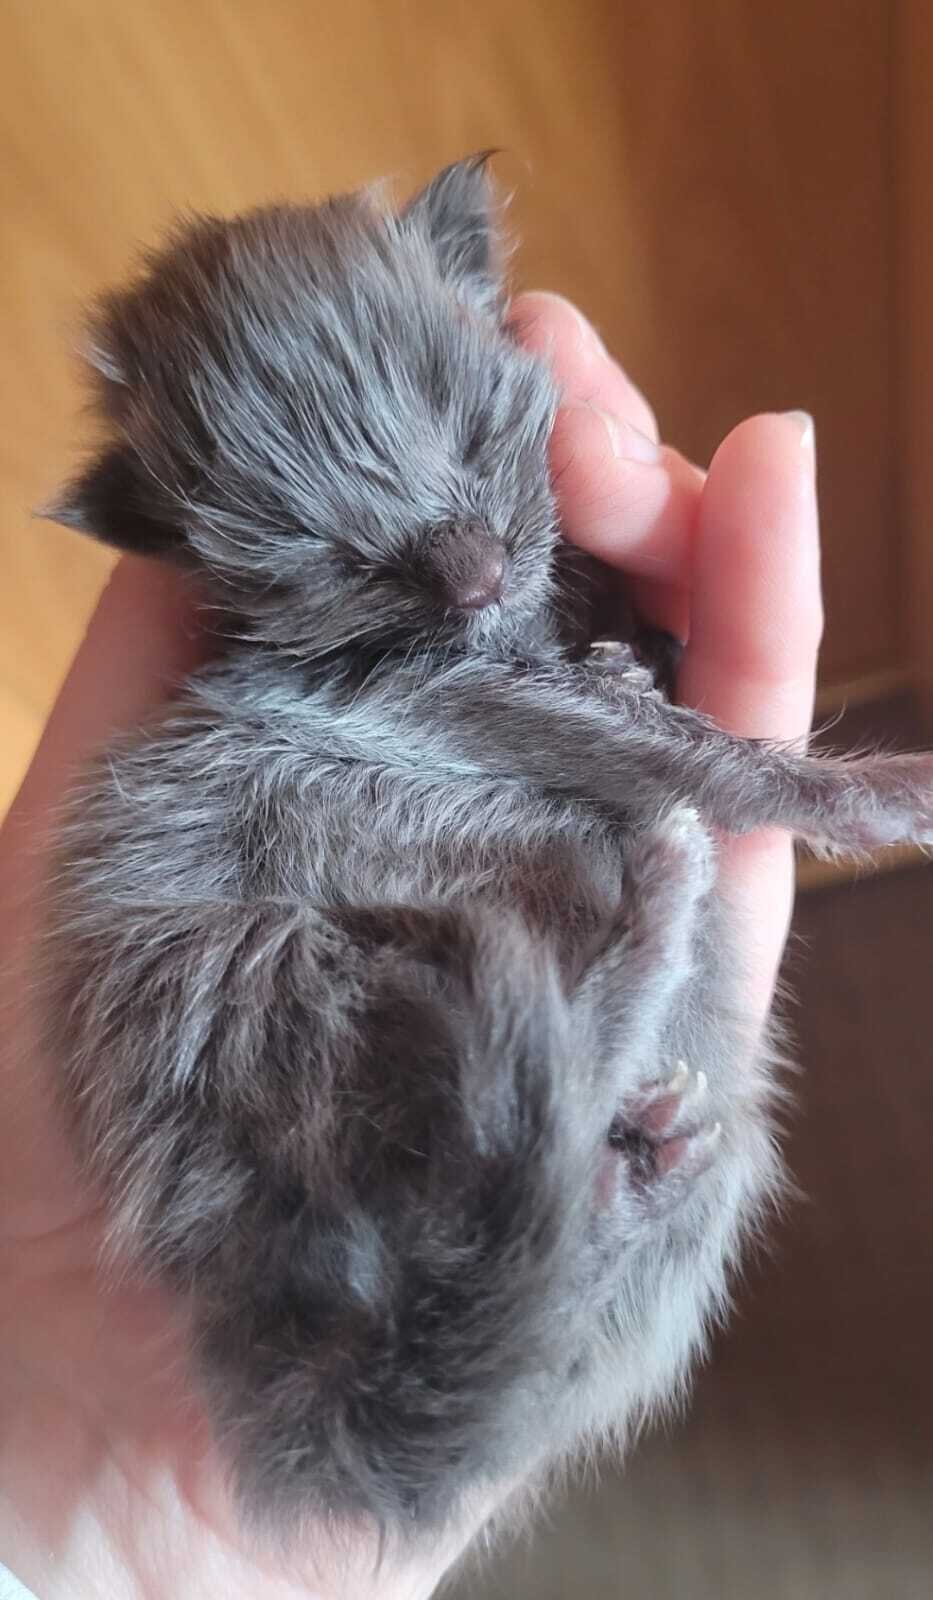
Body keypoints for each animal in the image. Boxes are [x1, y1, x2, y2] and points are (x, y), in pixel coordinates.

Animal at [43, 159, 933, 1548]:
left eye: (469, 432)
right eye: (331, 555)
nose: (473, 576)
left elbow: (646, 679)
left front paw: (636, 648)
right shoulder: (457, 704)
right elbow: (701, 757)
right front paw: (884, 797)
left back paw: (636, 1170)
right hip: (296, 979)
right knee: (513, 1102)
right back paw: (652, 912)